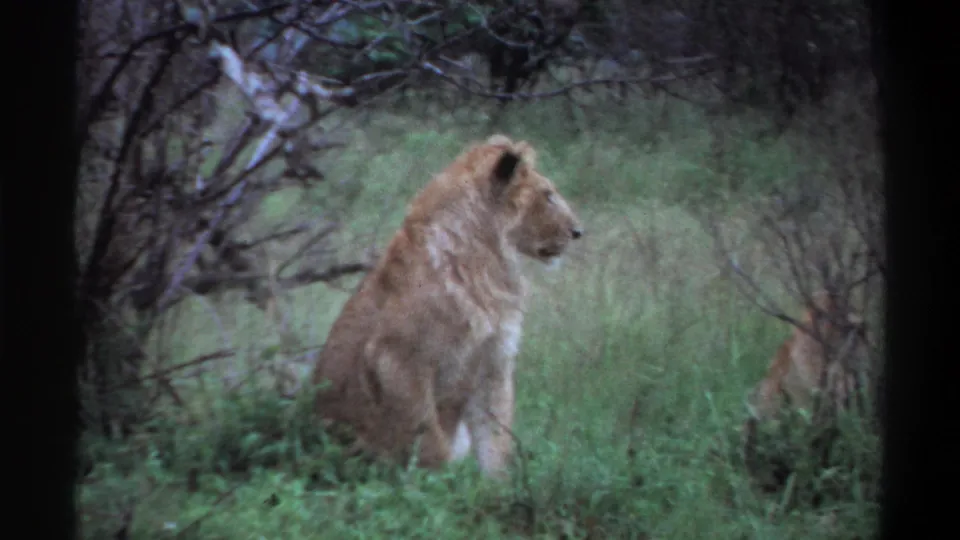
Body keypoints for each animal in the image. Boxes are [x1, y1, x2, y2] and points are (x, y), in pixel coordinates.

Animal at [310, 134, 583, 477]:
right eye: (548, 196)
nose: (578, 232)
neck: (487, 262)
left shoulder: (494, 360)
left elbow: (495, 437)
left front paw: (494, 487)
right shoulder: (398, 359)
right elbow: (429, 440)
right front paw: (441, 483)